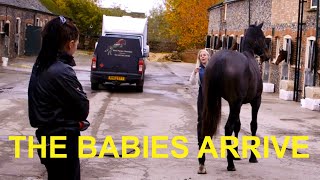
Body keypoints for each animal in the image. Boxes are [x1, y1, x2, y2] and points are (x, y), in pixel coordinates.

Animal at [202, 22, 270, 172]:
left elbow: (238, 126)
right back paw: (230, 164)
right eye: (263, 37)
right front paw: (252, 157)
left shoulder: (234, 104)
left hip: (217, 101)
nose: (267, 55)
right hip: (237, 103)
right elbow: (253, 125)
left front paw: (236, 154)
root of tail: (221, 60)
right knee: (228, 128)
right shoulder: (255, 101)